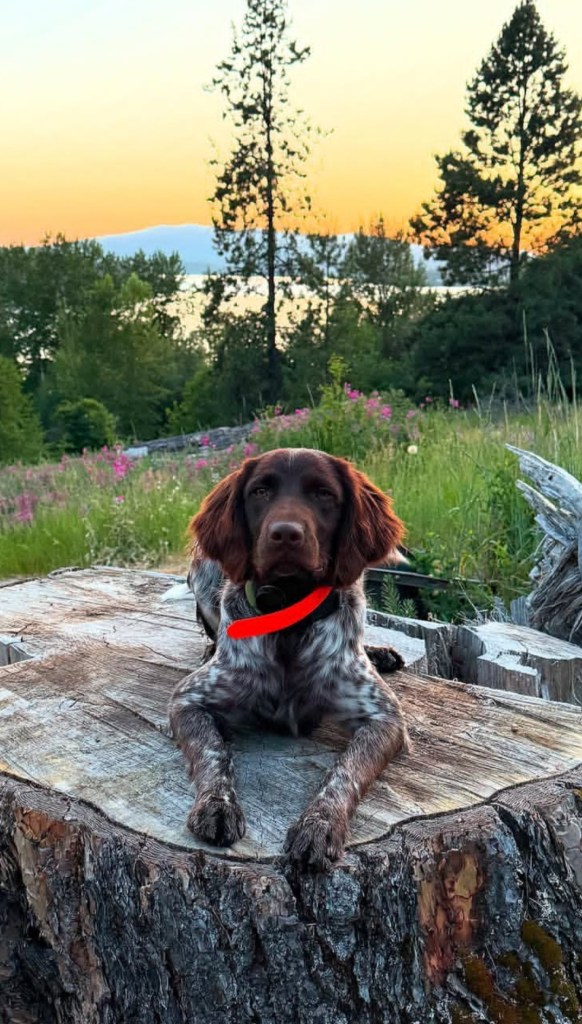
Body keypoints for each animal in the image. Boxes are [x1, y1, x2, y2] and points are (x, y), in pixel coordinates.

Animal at [169, 447, 409, 870]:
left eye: (324, 494)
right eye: (260, 491)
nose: (285, 533)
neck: (289, 611)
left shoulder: (386, 719)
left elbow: (345, 771)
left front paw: (320, 824)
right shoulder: (187, 700)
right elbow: (214, 752)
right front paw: (216, 804)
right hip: (204, 568)